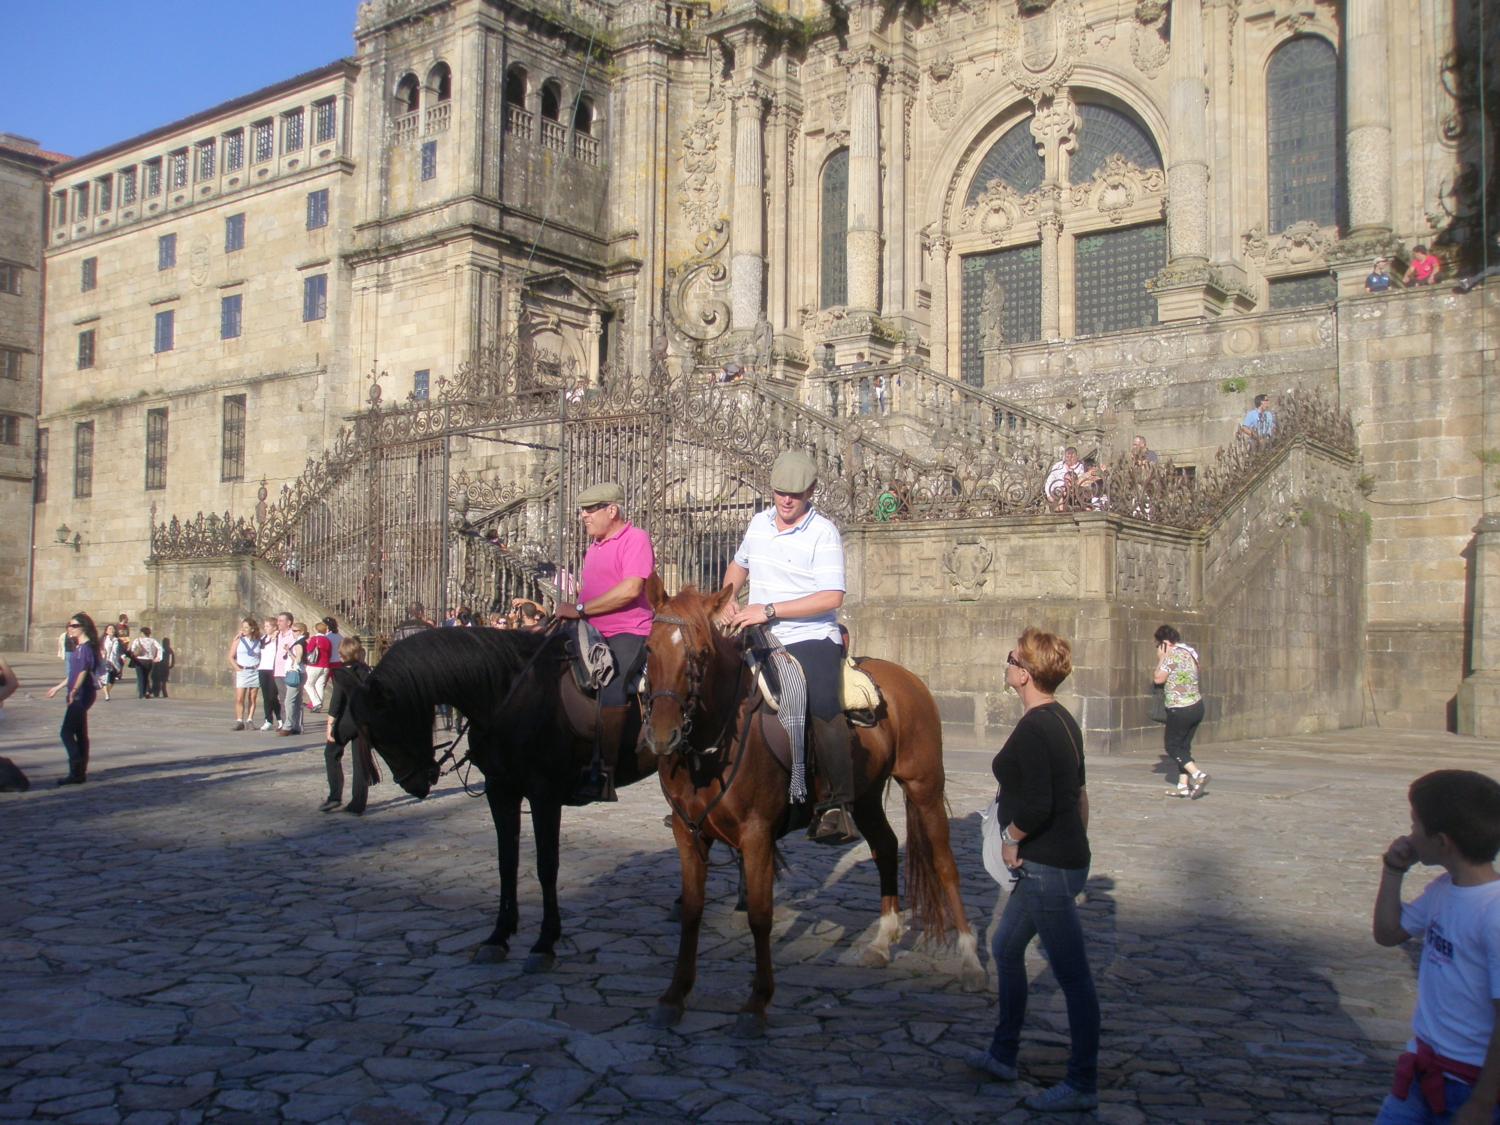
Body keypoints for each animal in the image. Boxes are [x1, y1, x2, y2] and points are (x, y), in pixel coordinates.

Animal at [354, 630, 660, 972]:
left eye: (382, 731)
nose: (413, 785)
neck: (509, 696)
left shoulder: (544, 794)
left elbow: (546, 866)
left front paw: (545, 942)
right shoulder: (500, 791)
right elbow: (506, 863)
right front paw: (499, 935)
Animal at [642, 582, 984, 1038]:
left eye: (700, 653)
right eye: (648, 648)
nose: (663, 734)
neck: (712, 744)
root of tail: (907, 677)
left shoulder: (756, 834)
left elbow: (761, 915)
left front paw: (756, 1002)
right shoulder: (688, 832)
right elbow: (693, 912)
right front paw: (674, 995)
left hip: (924, 785)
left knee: (945, 864)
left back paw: (970, 960)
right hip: (865, 795)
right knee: (885, 847)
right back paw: (882, 940)